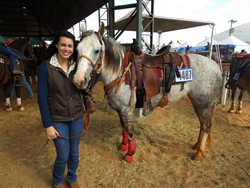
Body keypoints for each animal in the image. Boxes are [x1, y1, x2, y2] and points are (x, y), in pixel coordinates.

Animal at [74, 22, 223, 162]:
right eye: (77, 49)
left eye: (97, 50)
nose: (79, 80)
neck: (121, 71)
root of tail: (216, 67)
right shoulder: (119, 109)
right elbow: (123, 128)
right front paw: (123, 145)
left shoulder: (127, 109)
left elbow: (130, 131)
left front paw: (130, 154)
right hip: (196, 102)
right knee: (202, 124)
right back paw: (197, 145)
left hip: (205, 104)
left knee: (206, 125)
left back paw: (199, 152)